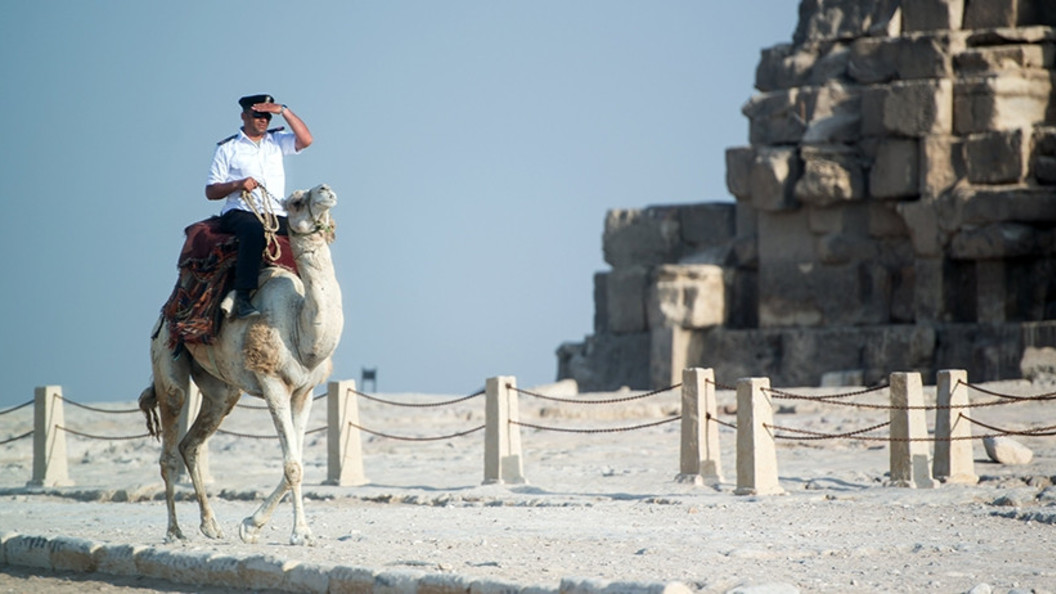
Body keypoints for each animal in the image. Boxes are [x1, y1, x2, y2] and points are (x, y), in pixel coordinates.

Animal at [139, 182, 342, 545]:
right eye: (295, 201)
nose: (325, 189)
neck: (301, 330)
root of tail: (164, 315)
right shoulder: (272, 381)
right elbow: (292, 465)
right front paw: (295, 532)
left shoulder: (304, 391)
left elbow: (297, 461)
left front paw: (255, 525)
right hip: (165, 357)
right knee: (169, 447)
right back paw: (174, 531)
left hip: (222, 392)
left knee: (191, 443)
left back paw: (211, 525)